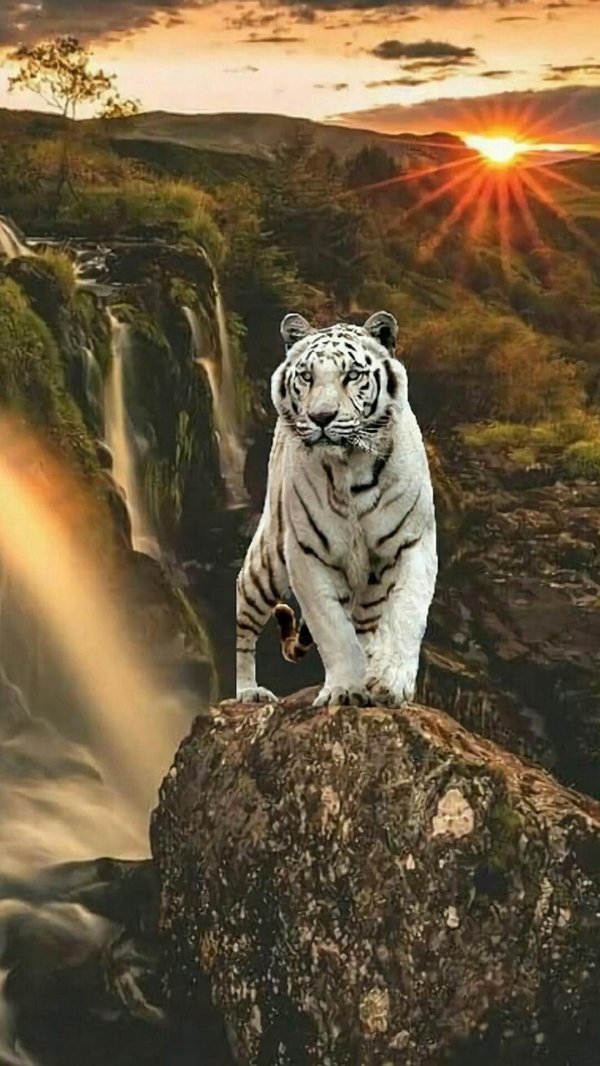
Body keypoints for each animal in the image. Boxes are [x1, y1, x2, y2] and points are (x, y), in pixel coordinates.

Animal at [236, 310, 437, 708]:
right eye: (307, 376)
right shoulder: (307, 554)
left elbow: (406, 613)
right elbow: (333, 630)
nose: (322, 417)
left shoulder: (414, 542)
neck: (351, 467)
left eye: (352, 375)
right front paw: (345, 688)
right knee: (244, 617)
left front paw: (390, 682)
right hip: (267, 560)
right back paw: (248, 691)